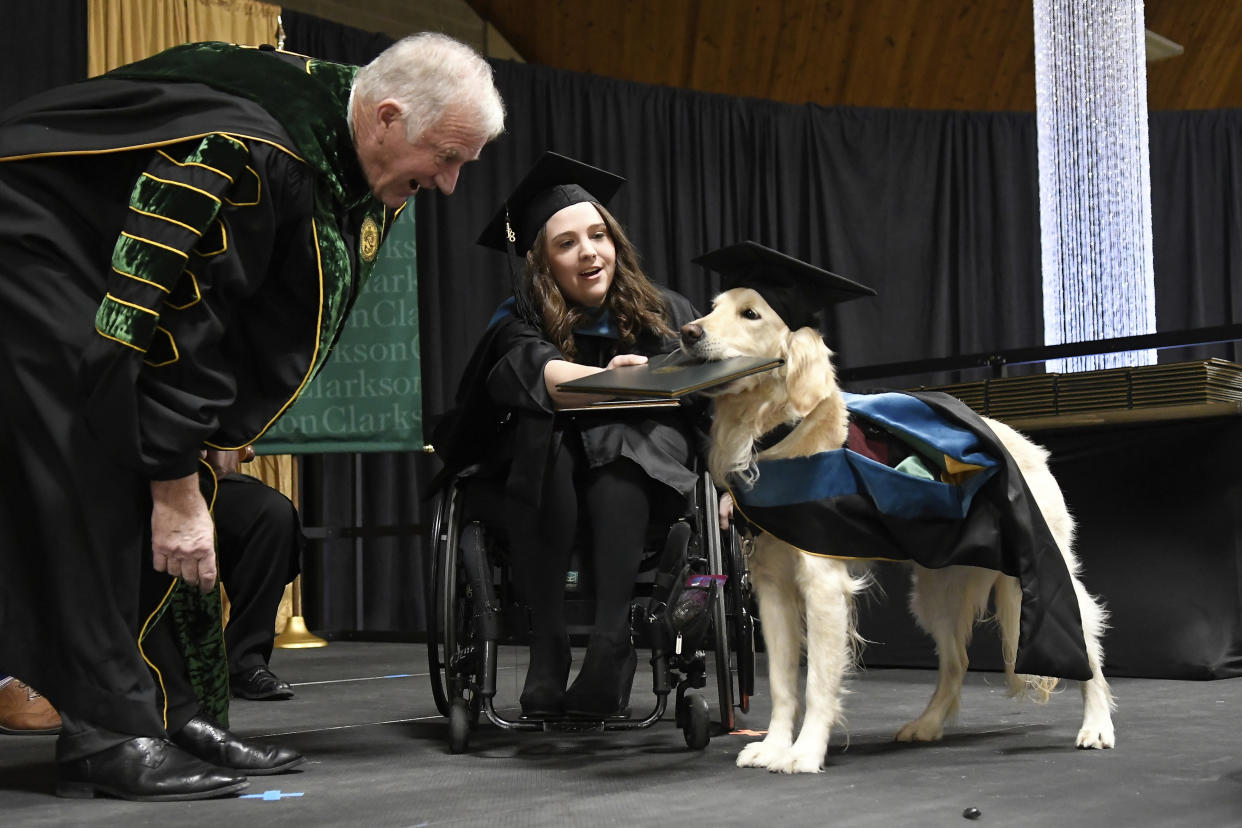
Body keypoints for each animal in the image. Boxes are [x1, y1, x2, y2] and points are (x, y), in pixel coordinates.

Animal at [680, 288, 1117, 774]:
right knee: (957, 659)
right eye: (712, 308)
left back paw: (1097, 725)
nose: (687, 332)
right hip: (936, 590)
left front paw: (806, 752)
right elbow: (780, 681)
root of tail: (1023, 442)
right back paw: (927, 725)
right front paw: (774, 747)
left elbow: (817, 682)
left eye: (751, 314)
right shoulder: (772, 585)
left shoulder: (823, 583)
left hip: (1038, 572)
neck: (777, 432)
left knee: (1085, 644)